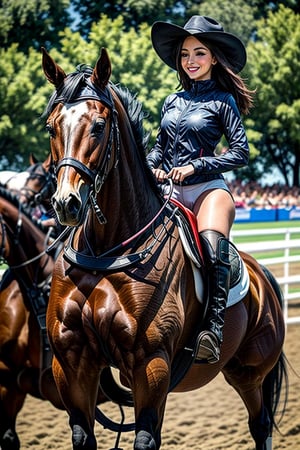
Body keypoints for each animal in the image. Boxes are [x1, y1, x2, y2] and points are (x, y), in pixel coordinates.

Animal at [41, 47, 286, 450]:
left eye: (99, 126)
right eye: (51, 127)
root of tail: (261, 273)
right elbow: (84, 435)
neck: (107, 253)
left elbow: (145, 437)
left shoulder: (150, 365)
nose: (66, 203)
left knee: (261, 424)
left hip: (249, 372)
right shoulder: (72, 362)